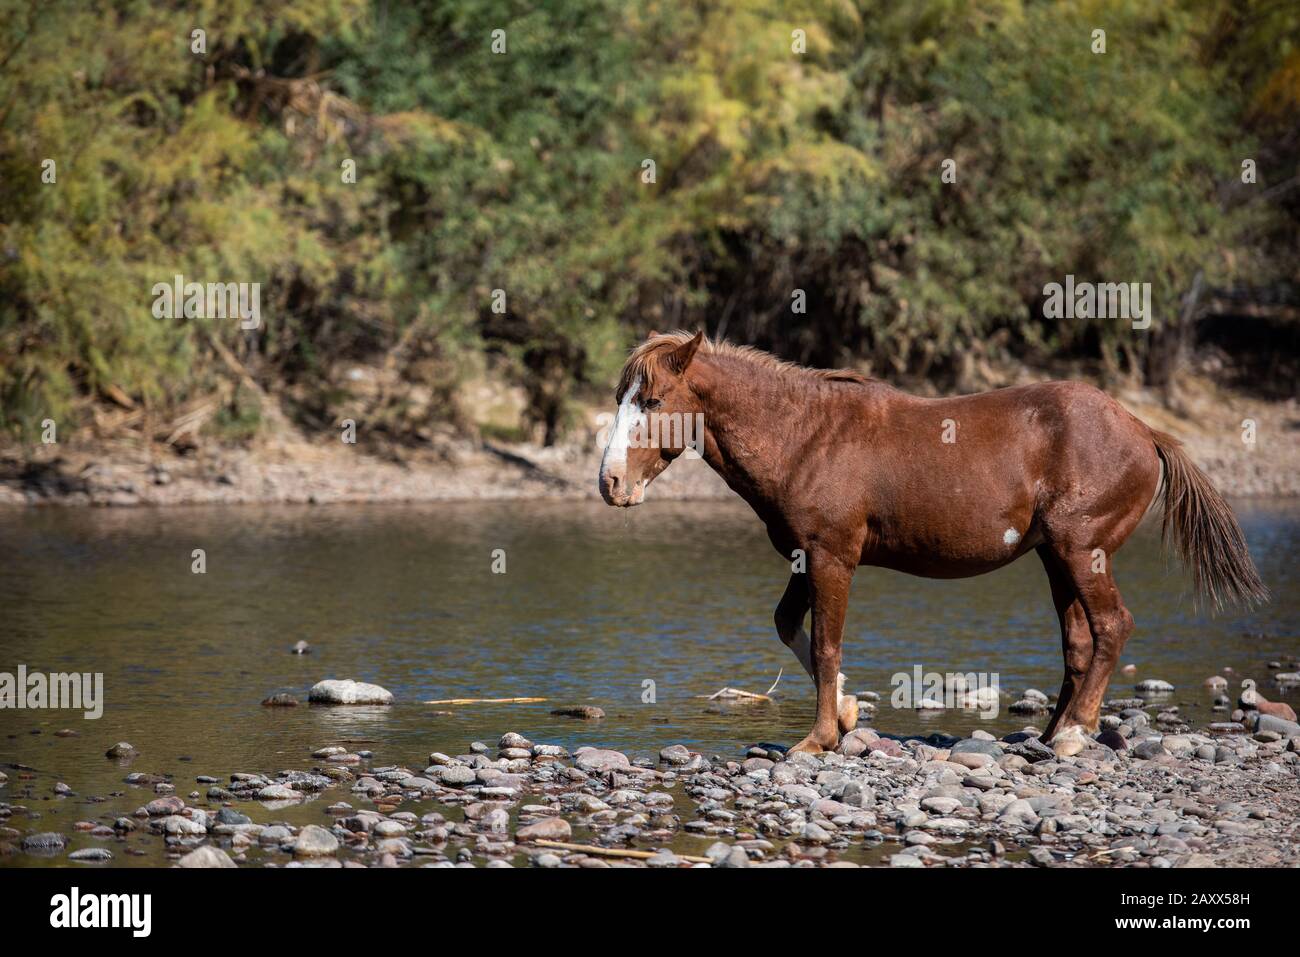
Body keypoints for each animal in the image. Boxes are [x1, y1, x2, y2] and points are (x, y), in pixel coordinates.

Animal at [598, 328, 1268, 754]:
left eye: (652, 400)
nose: (610, 483)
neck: (804, 435)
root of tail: (1145, 430)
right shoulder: (803, 558)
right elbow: (789, 626)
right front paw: (845, 714)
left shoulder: (833, 557)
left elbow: (826, 644)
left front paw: (818, 738)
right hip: (1057, 556)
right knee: (1080, 641)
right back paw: (1052, 734)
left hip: (1083, 551)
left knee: (1112, 626)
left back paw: (1076, 734)